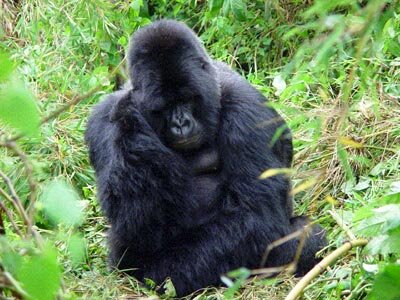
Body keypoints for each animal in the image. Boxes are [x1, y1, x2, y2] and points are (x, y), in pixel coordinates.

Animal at [84, 19, 324, 296]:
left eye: (187, 99)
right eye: (164, 107)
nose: (180, 123)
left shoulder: (248, 110)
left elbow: (256, 216)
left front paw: (156, 273)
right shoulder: (101, 120)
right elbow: (134, 224)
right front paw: (129, 119)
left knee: (305, 236)